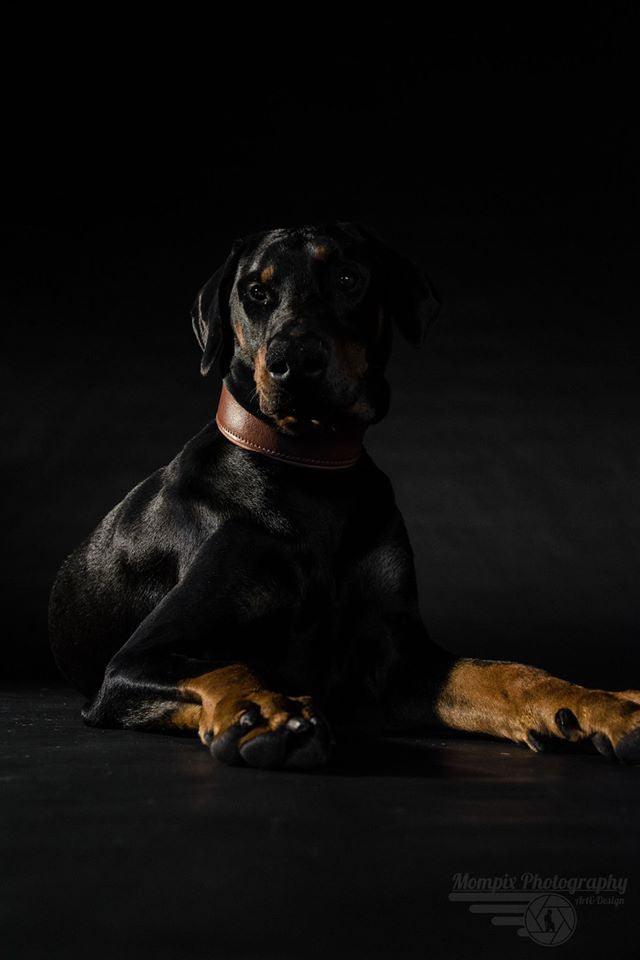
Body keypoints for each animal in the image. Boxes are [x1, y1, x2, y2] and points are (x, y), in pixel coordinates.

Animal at [48, 221, 640, 768]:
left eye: (348, 279)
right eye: (255, 292)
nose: (293, 360)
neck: (312, 473)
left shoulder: (400, 658)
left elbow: (504, 673)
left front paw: (601, 704)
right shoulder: (135, 661)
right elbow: (229, 663)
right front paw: (264, 709)